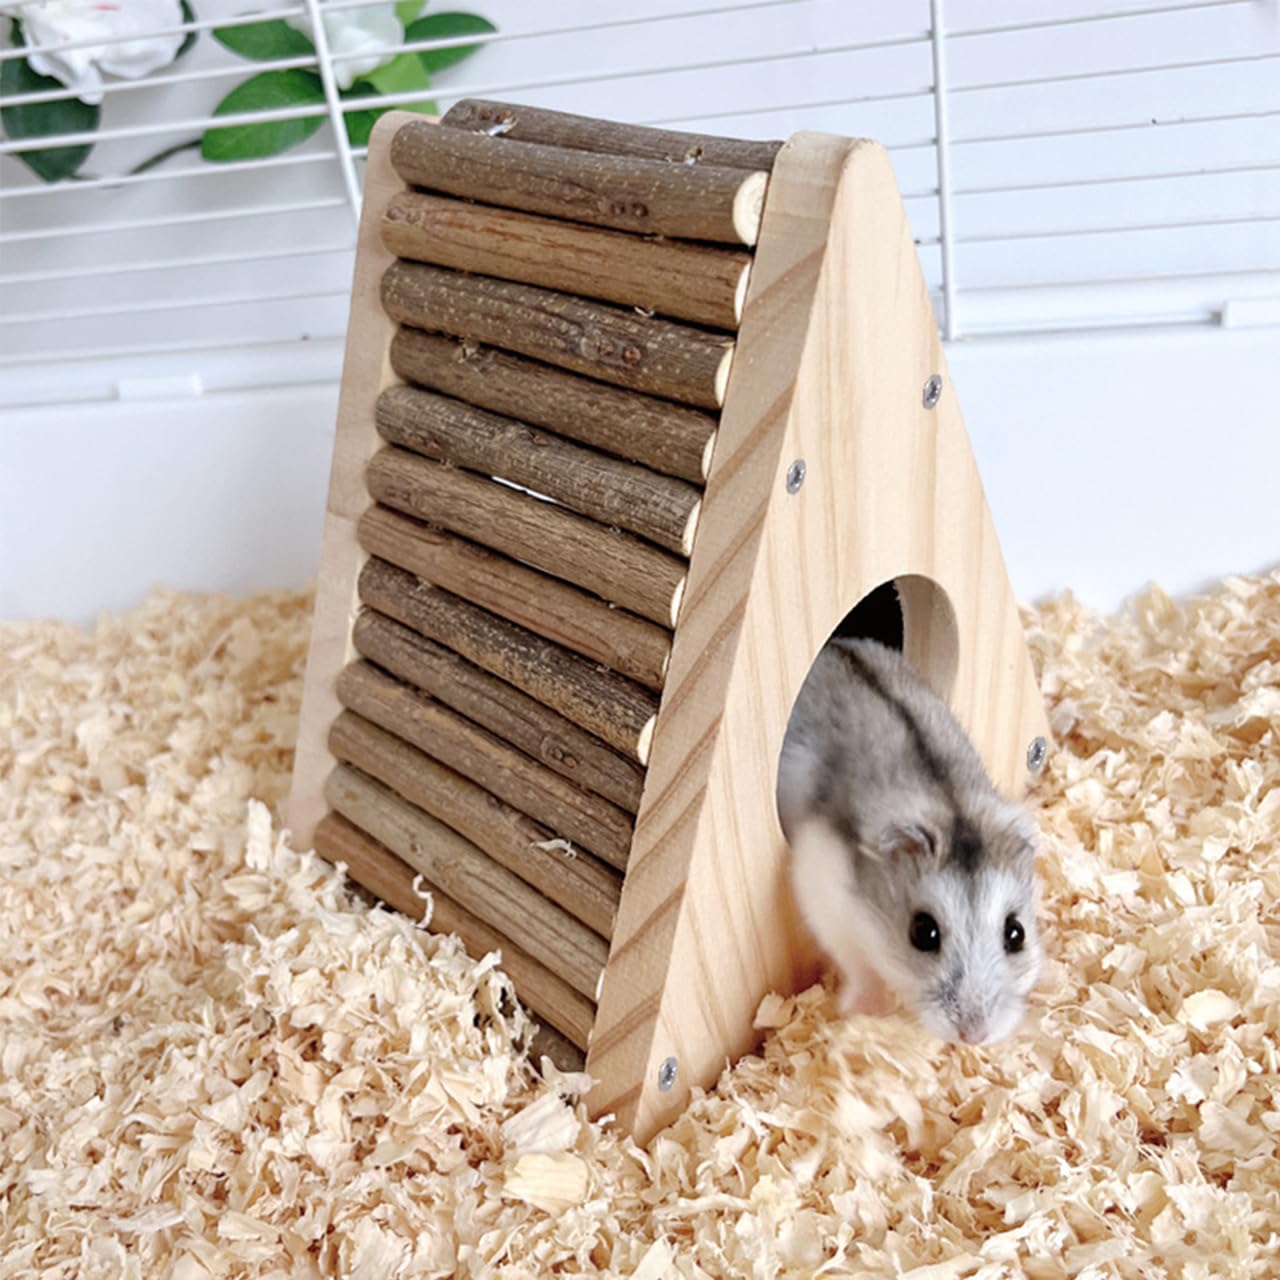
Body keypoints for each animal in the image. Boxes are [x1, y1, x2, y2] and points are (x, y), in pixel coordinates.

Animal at [776, 637, 1042, 1045]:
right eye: (923, 933)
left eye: (1016, 934)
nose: (974, 1037)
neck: (949, 805)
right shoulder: (823, 892)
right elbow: (858, 963)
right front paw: (866, 1010)